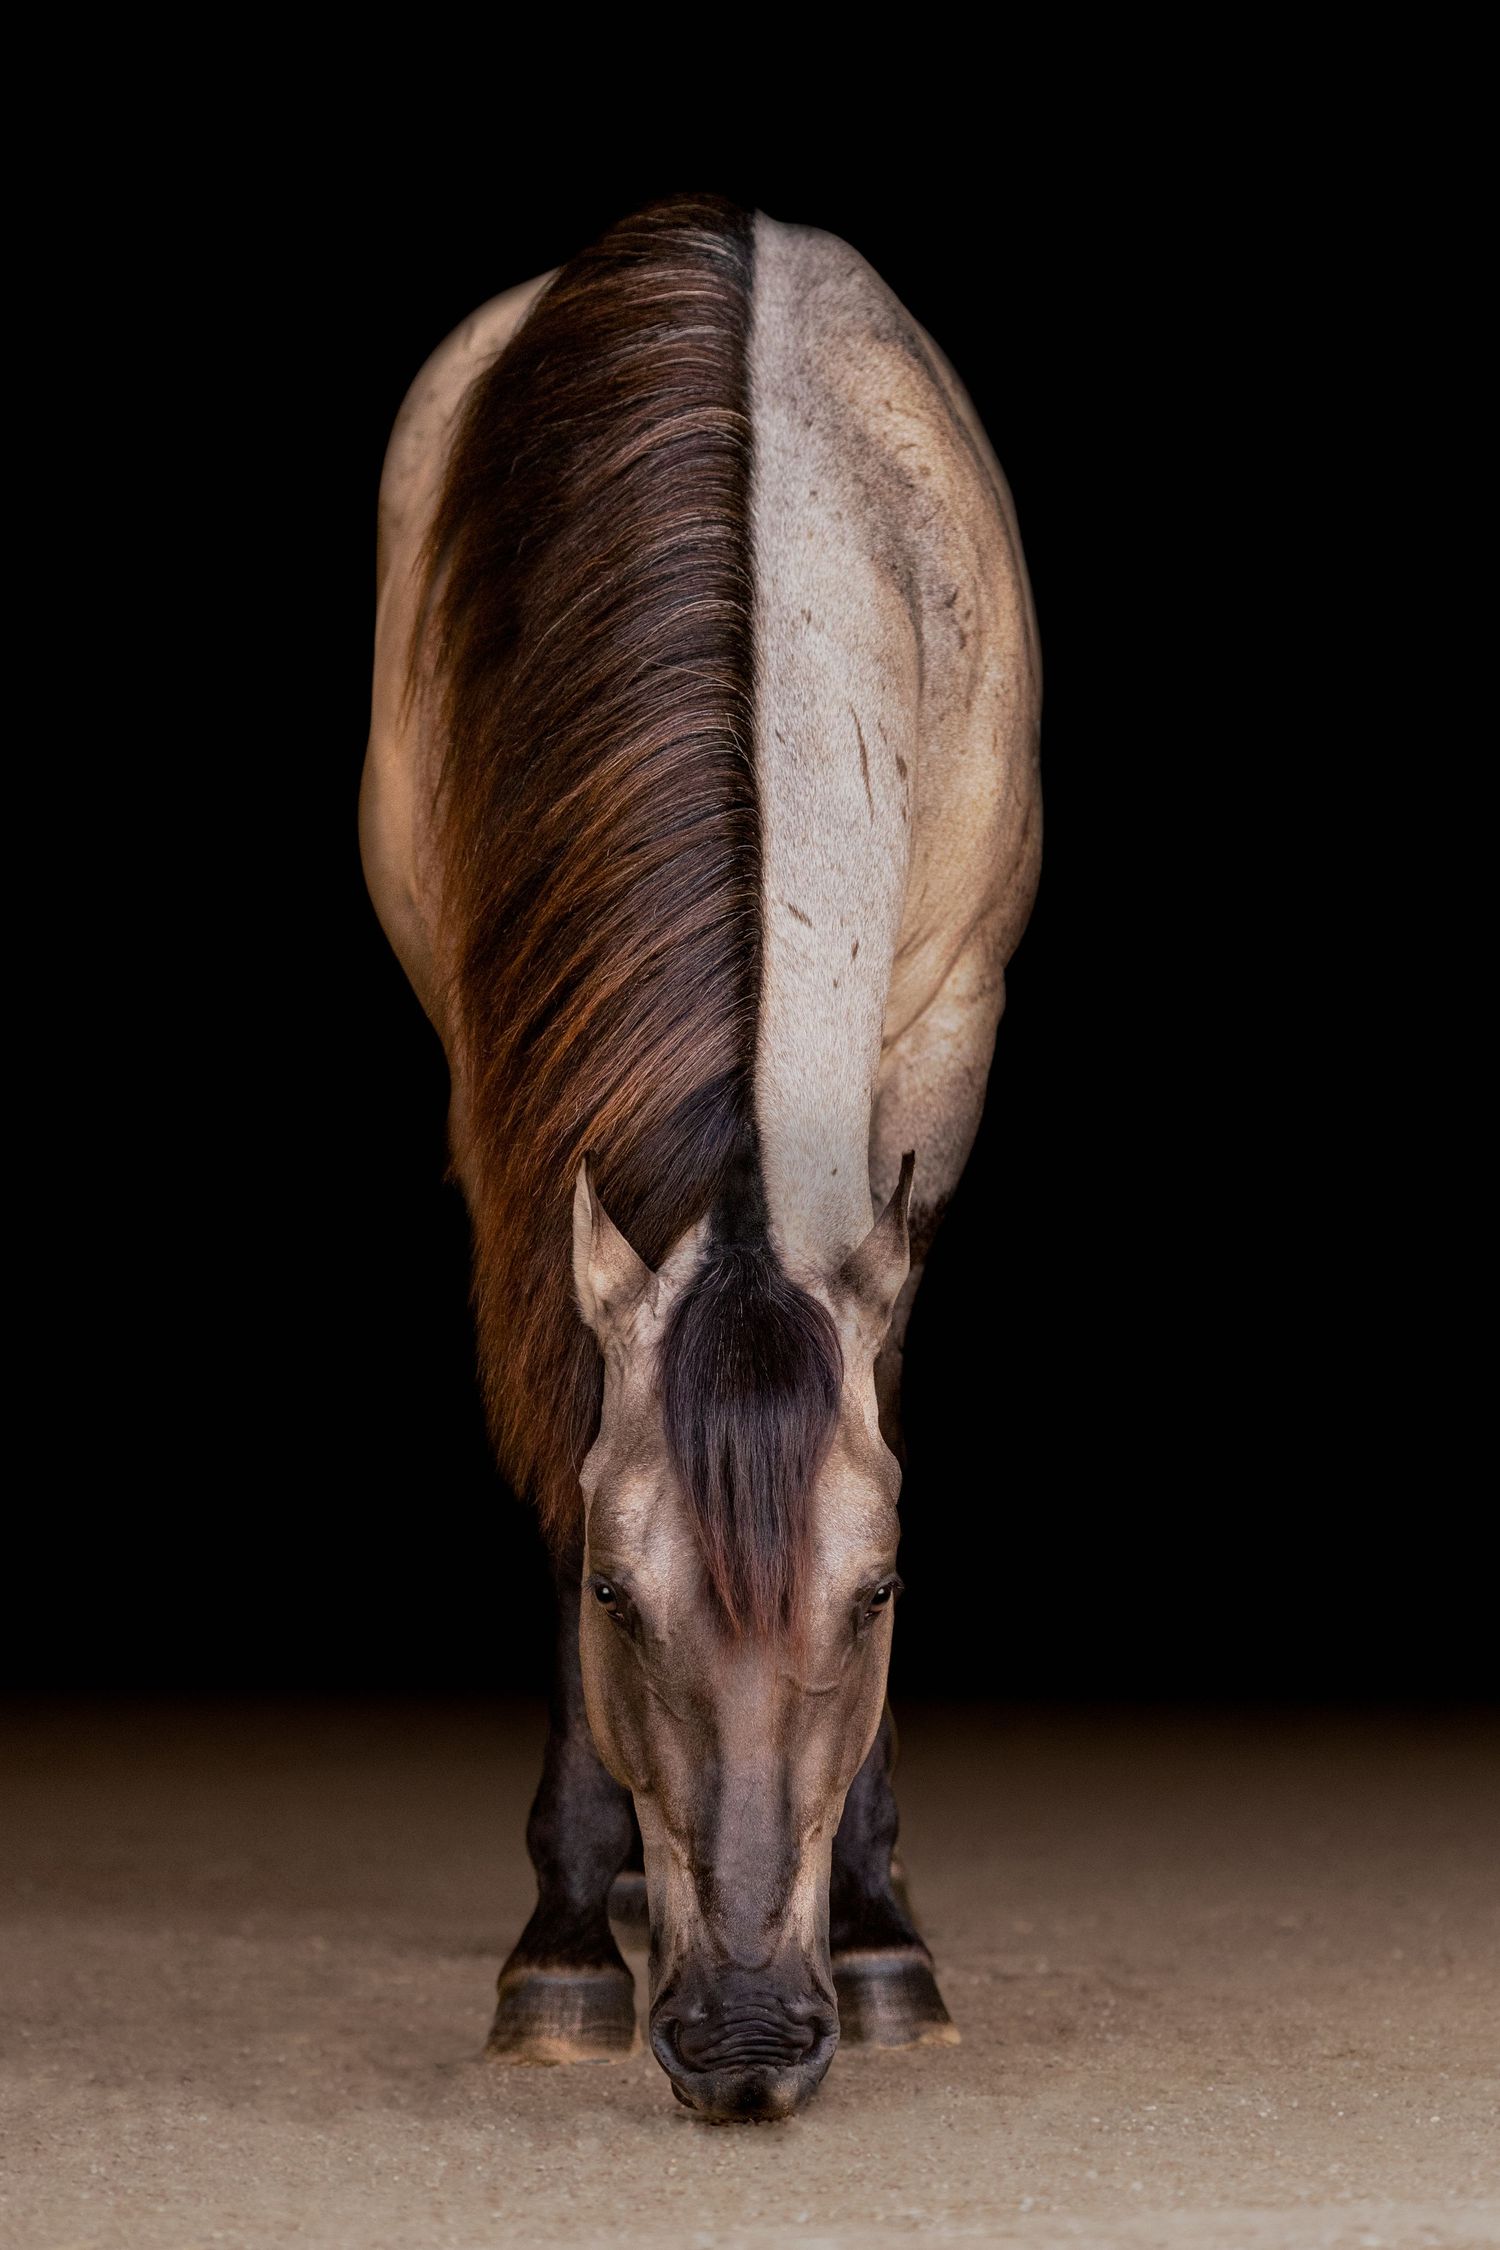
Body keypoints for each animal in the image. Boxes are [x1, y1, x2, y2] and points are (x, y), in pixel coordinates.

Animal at [360, 191, 1041, 2122]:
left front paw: (883, 1930)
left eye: (879, 1590)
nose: (742, 2043)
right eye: (612, 1584)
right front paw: (562, 1944)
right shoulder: (502, 1089)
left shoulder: (943, 1042)